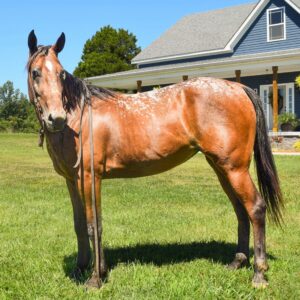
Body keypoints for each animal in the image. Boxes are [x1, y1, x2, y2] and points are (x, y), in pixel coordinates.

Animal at [27, 30, 282, 288]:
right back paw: (237, 262)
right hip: (222, 169)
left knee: (255, 208)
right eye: (36, 72)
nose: (56, 118)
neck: (78, 118)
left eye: (60, 73)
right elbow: (79, 225)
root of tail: (238, 88)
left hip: (235, 169)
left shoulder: (90, 178)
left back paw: (259, 274)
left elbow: (93, 225)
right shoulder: (72, 180)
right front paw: (80, 269)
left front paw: (96, 278)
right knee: (240, 210)